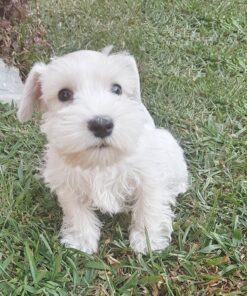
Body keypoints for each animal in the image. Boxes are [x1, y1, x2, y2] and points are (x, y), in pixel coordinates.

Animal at [16, 47, 187, 253]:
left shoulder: (148, 175)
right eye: (64, 94)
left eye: (117, 89)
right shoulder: (67, 183)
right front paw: (81, 240)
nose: (102, 125)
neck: (101, 161)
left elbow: (149, 205)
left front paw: (147, 240)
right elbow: (76, 211)